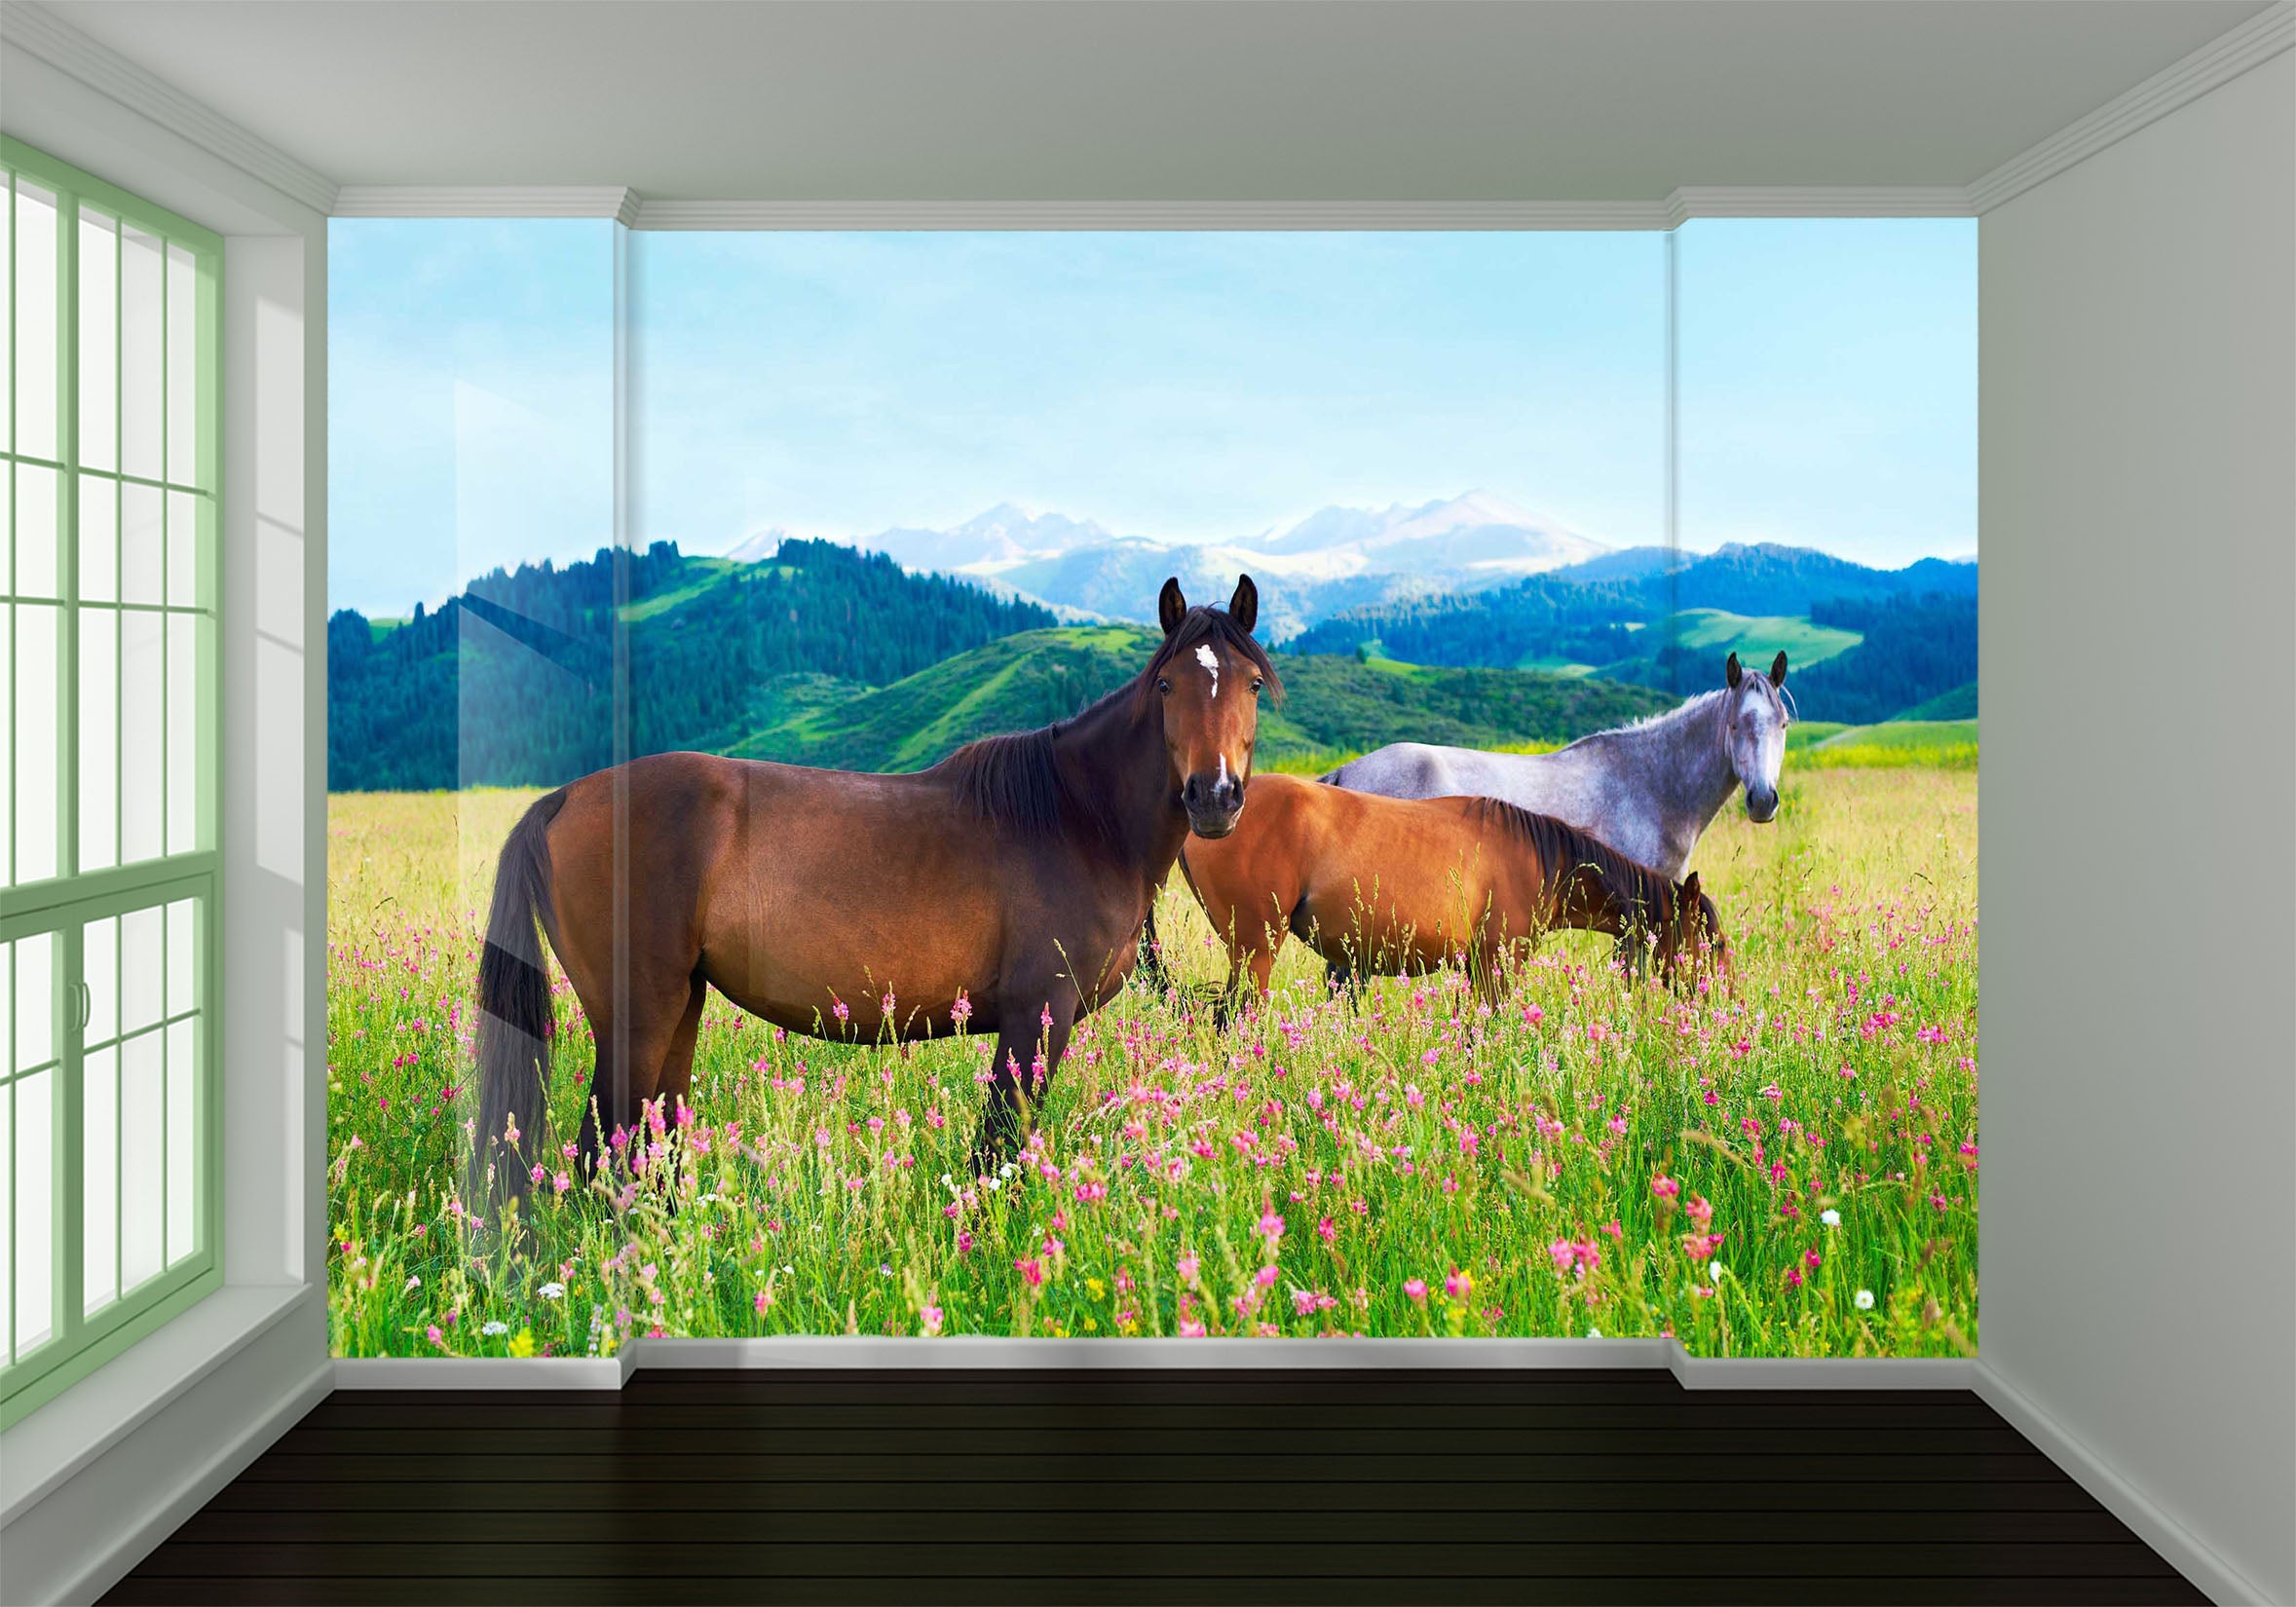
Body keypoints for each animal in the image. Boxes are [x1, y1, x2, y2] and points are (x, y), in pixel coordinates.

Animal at [466, 575, 1278, 1209]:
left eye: (1251, 685)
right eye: (1167, 685)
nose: (1213, 798)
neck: (1077, 816)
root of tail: (563, 800)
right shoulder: (1035, 1017)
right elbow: (999, 1155)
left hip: (677, 1008)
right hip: (636, 1016)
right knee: (600, 1157)